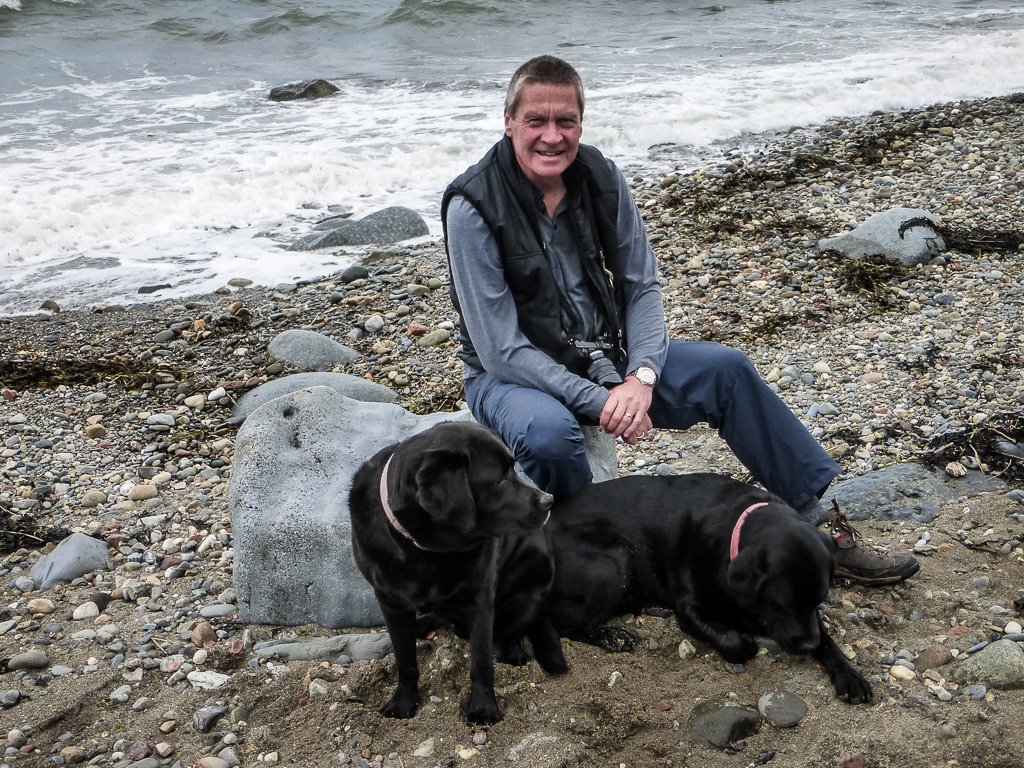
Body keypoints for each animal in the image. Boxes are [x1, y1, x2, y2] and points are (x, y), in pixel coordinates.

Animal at [348, 423, 565, 724]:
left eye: (514, 469)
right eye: (499, 481)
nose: (549, 500)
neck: (425, 550)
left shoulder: (480, 600)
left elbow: (481, 662)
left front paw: (483, 708)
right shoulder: (389, 602)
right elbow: (404, 659)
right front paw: (403, 701)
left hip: (533, 581)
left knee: (504, 637)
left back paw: (511, 650)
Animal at [544, 473, 872, 708]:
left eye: (819, 600)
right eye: (782, 604)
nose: (806, 646)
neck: (737, 527)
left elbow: (828, 641)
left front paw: (849, 676)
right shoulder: (688, 608)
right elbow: (735, 642)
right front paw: (746, 640)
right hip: (616, 557)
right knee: (562, 622)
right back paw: (612, 636)